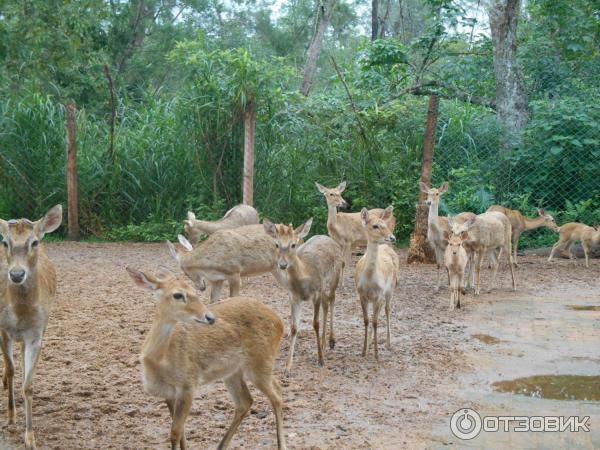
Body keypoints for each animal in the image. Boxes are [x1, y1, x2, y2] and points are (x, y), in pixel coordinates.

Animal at [0, 205, 62, 450]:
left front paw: (30, 437)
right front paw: (11, 417)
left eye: (34, 242)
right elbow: (10, 368)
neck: (20, 315)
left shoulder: (36, 333)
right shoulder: (3, 329)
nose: (17, 274)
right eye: (5, 242)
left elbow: (29, 384)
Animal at [125, 268, 284, 450]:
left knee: (277, 395)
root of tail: (280, 322)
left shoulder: (188, 385)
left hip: (260, 364)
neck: (158, 362)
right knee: (246, 401)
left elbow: (175, 432)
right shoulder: (169, 393)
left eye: (194, 291)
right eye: (178, 294)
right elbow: (181, 432)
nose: (210, 318)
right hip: (233, 371)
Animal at [264, 219, 342, 372]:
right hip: (323, 288)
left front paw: (320, 360)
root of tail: (327, 237)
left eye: (293, 244)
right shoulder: (294, 297)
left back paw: (331, 341)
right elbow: (294, 327)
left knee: (332, 299)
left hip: (335, 277)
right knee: (326, 303)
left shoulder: (316, 293)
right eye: (277, 244)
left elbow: (315, 323)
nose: (283, 265)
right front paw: (288, 366)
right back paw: (324, 343)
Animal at [354, 207, 400, 358]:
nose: (392, 237)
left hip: (391, 288)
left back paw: (388, 343)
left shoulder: (379, 294)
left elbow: (375, 322)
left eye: (385, 224)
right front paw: (364, 350)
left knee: (387, 309)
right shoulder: (361, 295)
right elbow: (367, 320)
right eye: (375, 226)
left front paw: (376, 354)